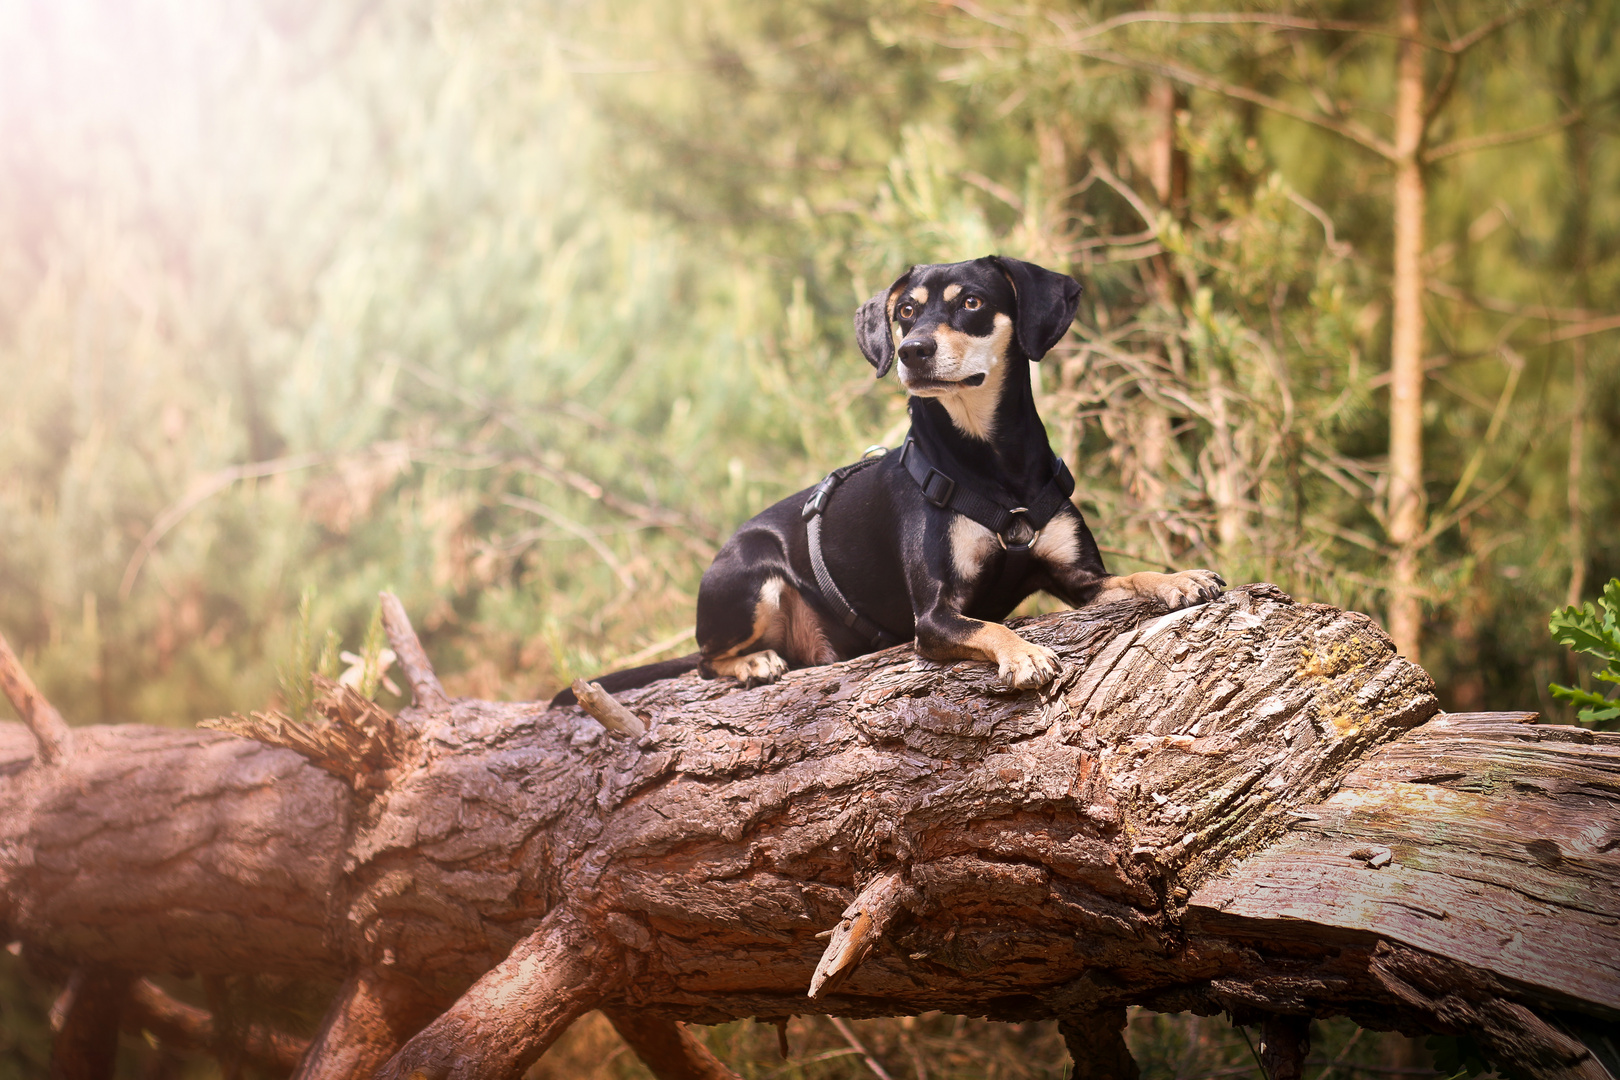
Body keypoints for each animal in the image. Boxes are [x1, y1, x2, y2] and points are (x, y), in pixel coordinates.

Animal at [563, 257, 1218, 705]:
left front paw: (1178, 579)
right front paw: (1026, 652)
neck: (992, 464)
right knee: (704, 658)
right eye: (906, 311)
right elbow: (989, 624)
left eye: (972, 302)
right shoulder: (933, 617)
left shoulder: (1079, 580)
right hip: (752, 577)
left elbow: (1130, 578)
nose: (912, 350)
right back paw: (753, 663)